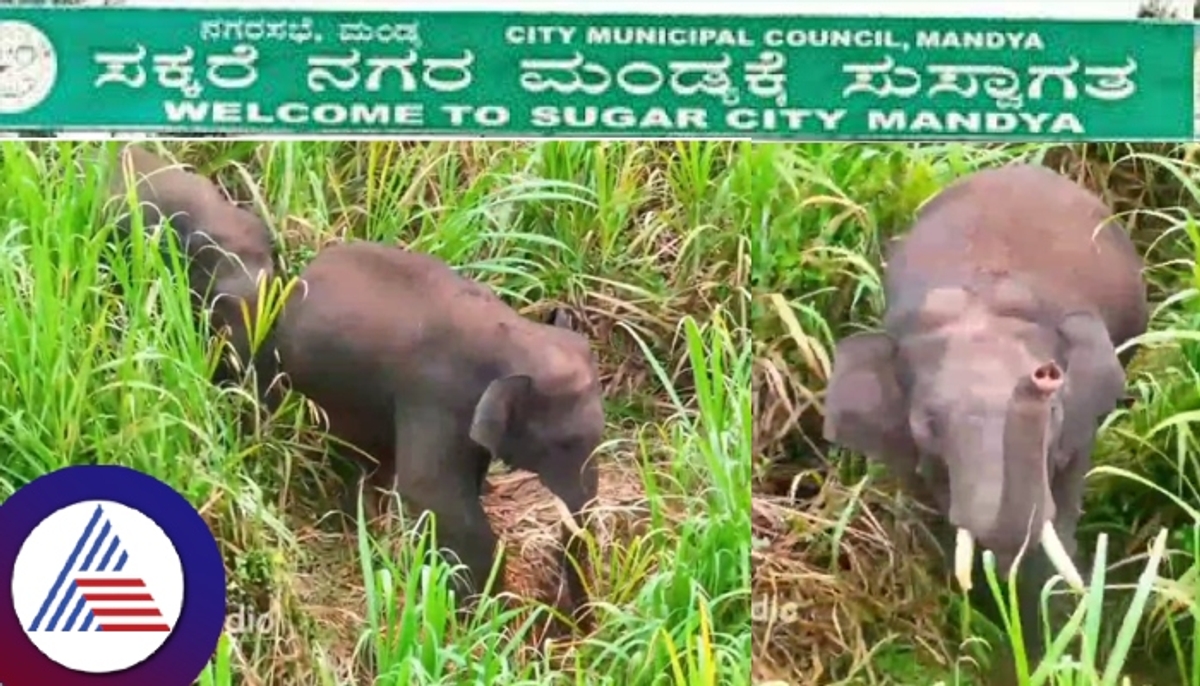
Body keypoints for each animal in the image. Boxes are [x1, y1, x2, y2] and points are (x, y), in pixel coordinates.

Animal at [268, 239, 604, 628]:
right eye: (563, 444)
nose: (582, 628)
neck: (518, 336)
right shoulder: (435, 396)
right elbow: (429, 490)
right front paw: (476, 612)